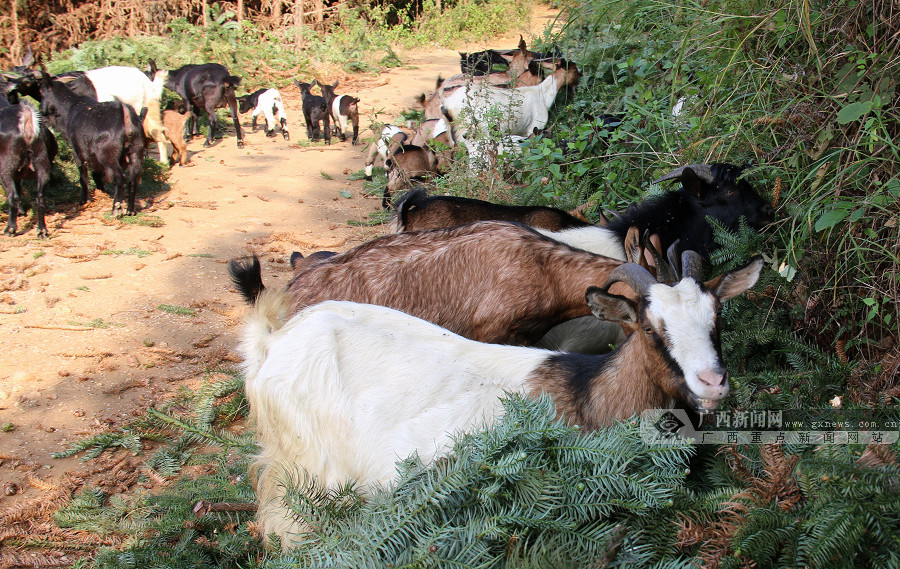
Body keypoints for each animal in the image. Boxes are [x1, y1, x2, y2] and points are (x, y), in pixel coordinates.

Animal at [0, 101, 57, 236]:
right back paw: (42, 231)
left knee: (12, 196)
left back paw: (10, 229)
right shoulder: (17, 175)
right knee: (40, 197)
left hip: (6, 166)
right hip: (41, 161)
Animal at [243, 251, 764, 544]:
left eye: (717, 317)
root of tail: (274, 341)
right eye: (654, 331)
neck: (587, 392)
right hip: (302, 468)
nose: (712, 381)